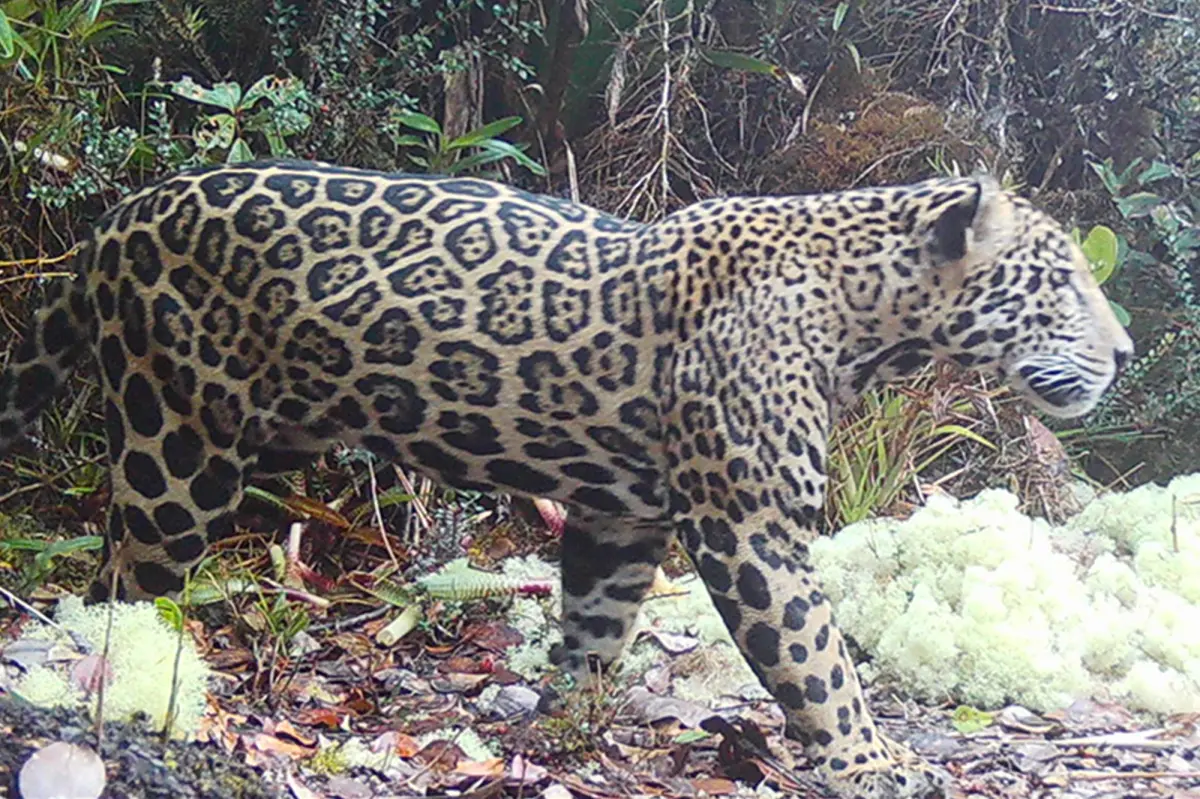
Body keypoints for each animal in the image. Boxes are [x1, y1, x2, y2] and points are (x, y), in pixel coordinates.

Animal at [0, 160, 1132, 798]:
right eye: (1063, 281)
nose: (1124, 355)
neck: (864, 315)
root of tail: (112, 221)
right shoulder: (751, 524)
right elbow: (817, 658)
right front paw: (872, 761)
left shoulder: (620, 517)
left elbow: (597, 621)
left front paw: (565, 725)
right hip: (178, 444)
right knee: (125, 580)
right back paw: (128, 686)